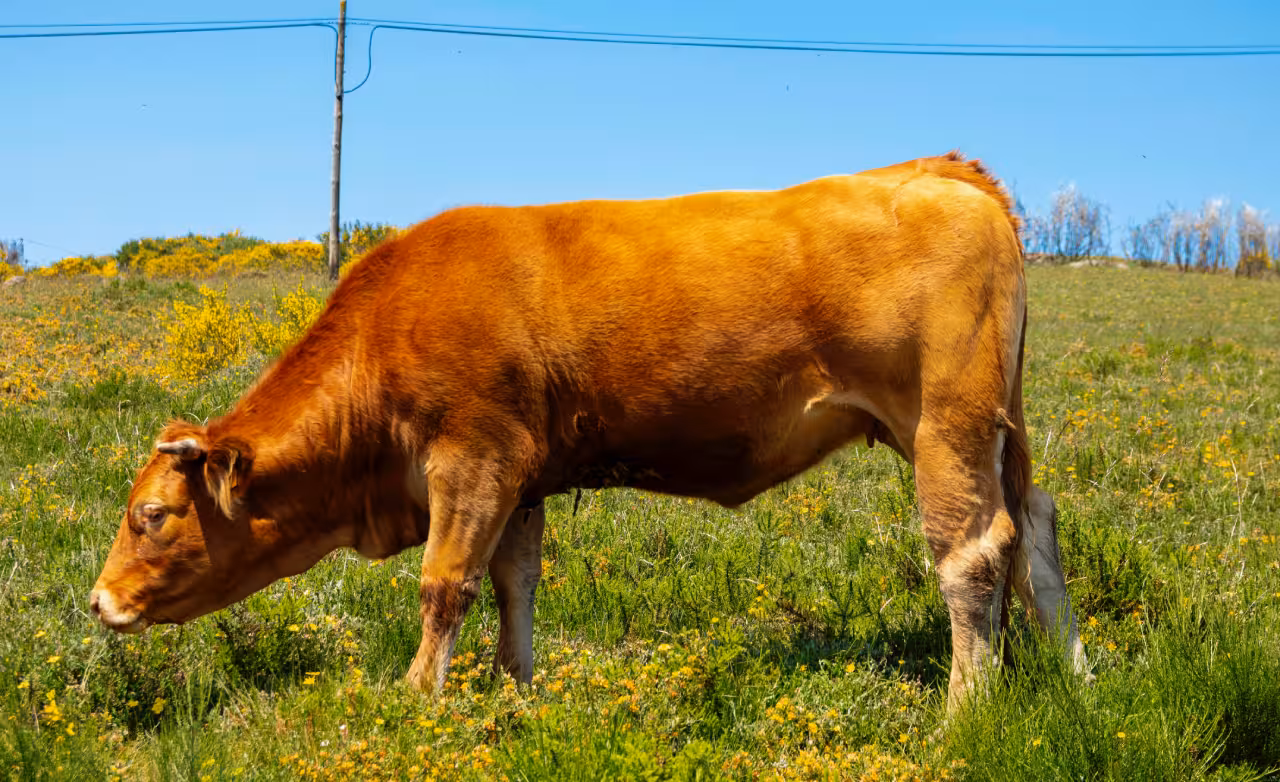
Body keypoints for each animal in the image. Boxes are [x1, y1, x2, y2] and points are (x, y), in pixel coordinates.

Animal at [90, 152, 1087, 709]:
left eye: (150, 516)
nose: (98, 603)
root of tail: (938, 168)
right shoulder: (520, 479)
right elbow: (514, 584)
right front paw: (518, 689)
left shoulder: (473, 459)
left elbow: (445, 584)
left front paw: (416, 696)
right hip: (1000, 430)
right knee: (1036, 527)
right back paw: (1075, 673)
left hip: (946, 425)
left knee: (971, 554)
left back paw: (965, 708)